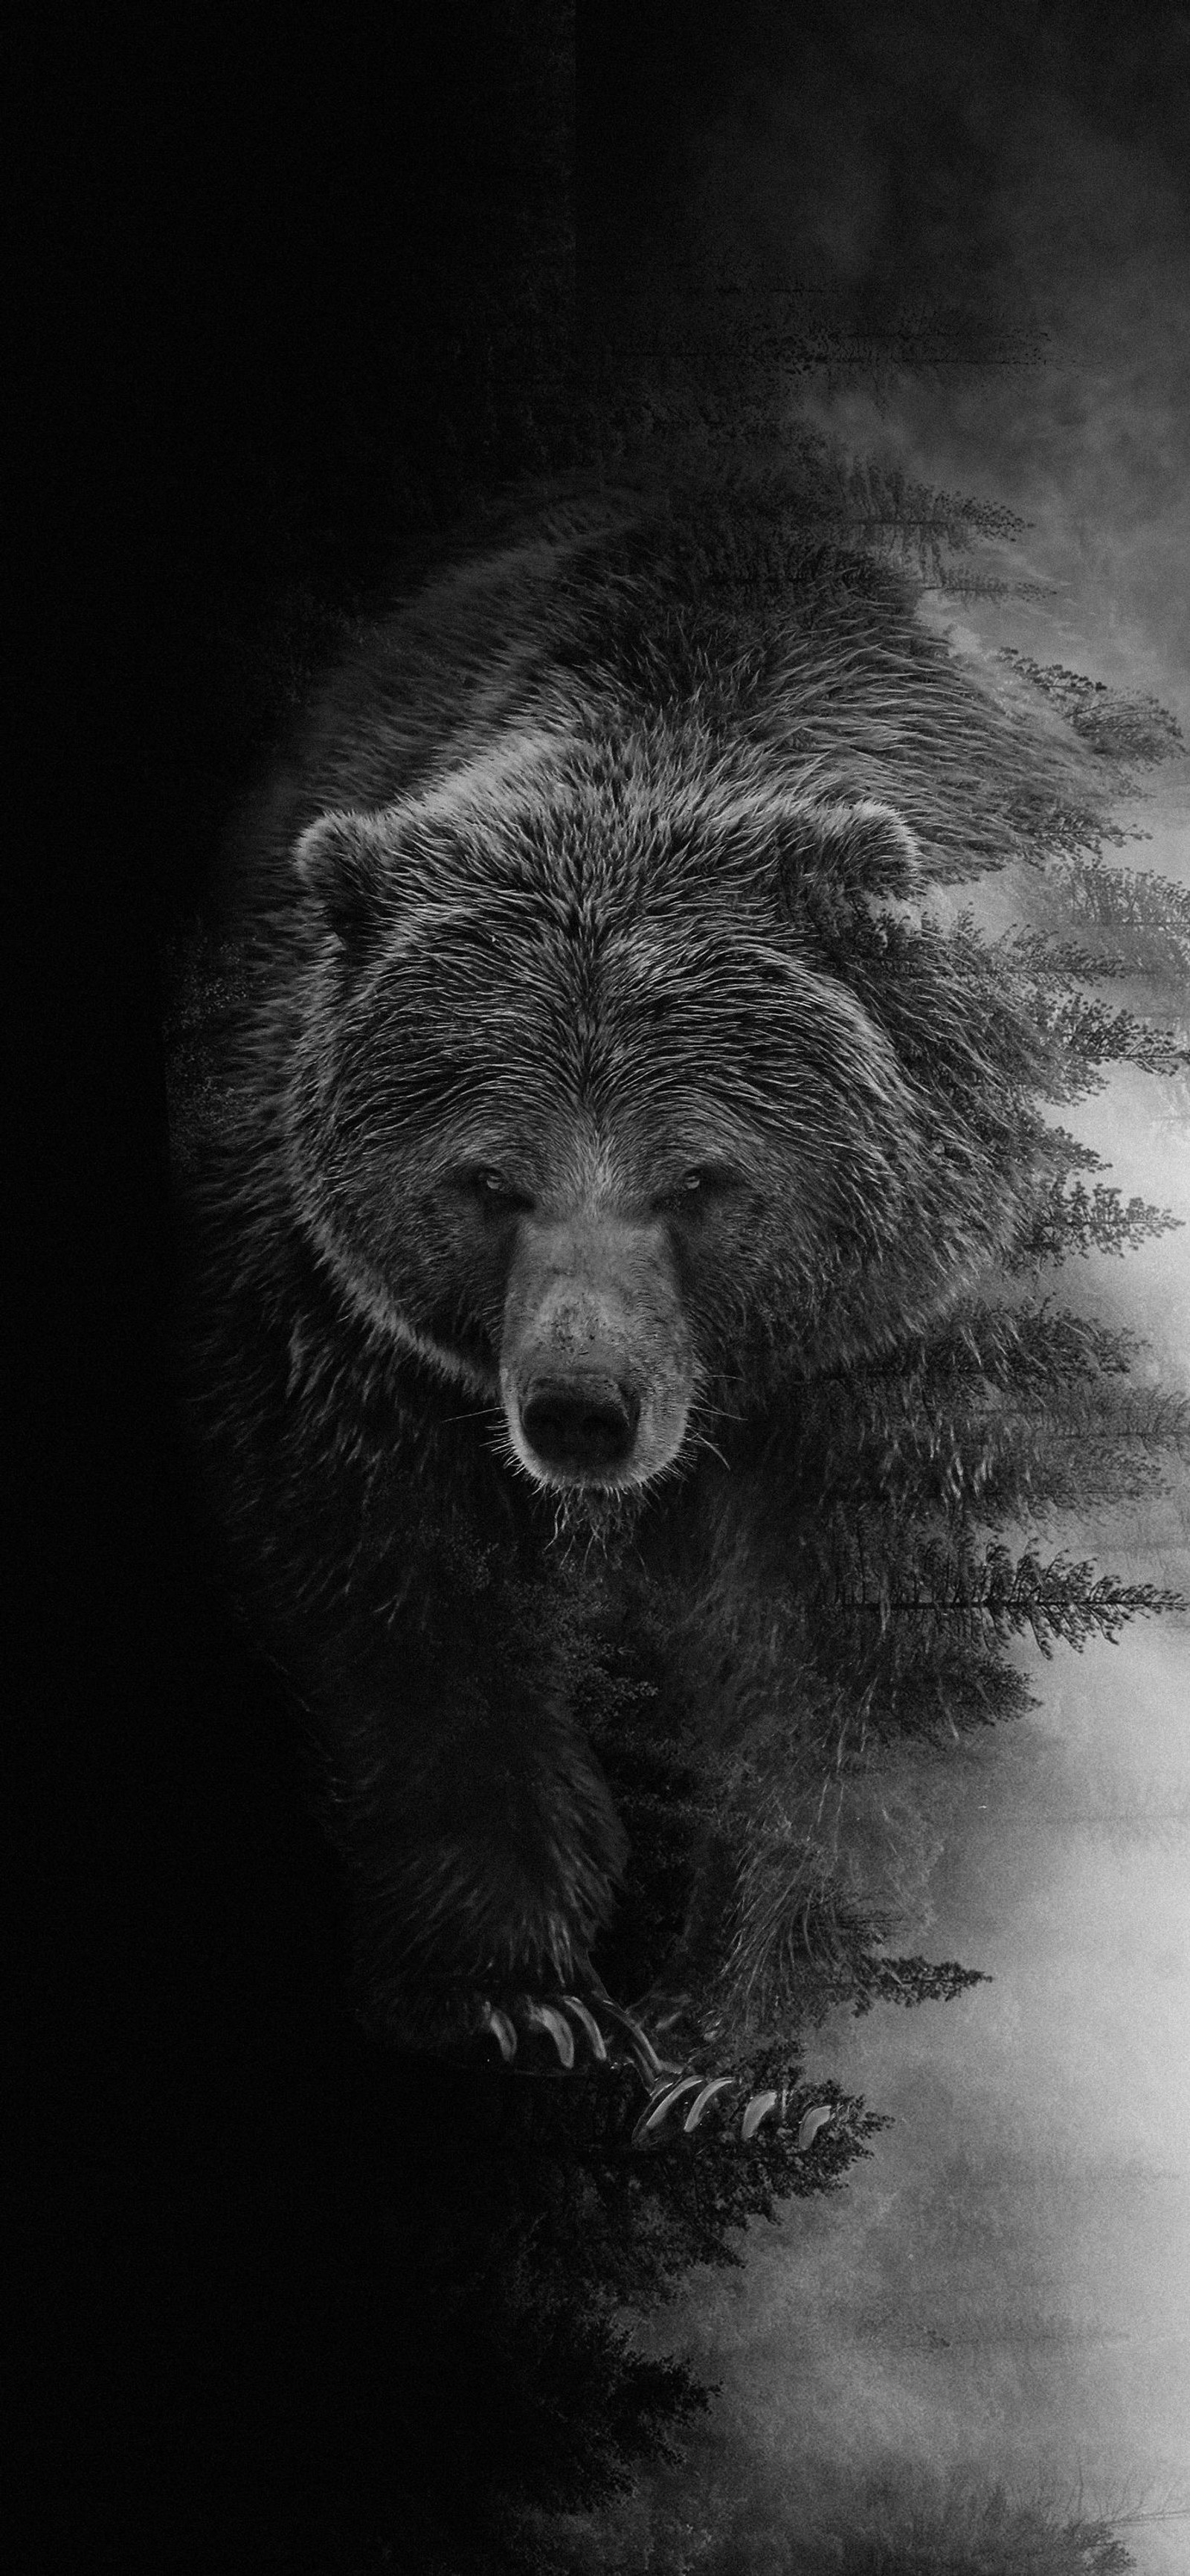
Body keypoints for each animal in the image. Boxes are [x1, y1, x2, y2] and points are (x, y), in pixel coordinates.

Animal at [178, 469, 1061, 2071]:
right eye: (488, 1178)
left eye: (699, 1176)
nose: (582, 1409)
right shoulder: (329, 1312)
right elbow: (409, 1605)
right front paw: (519, 1991)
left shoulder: (901, 1347)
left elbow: (857, 1652)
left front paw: (746, 2040)